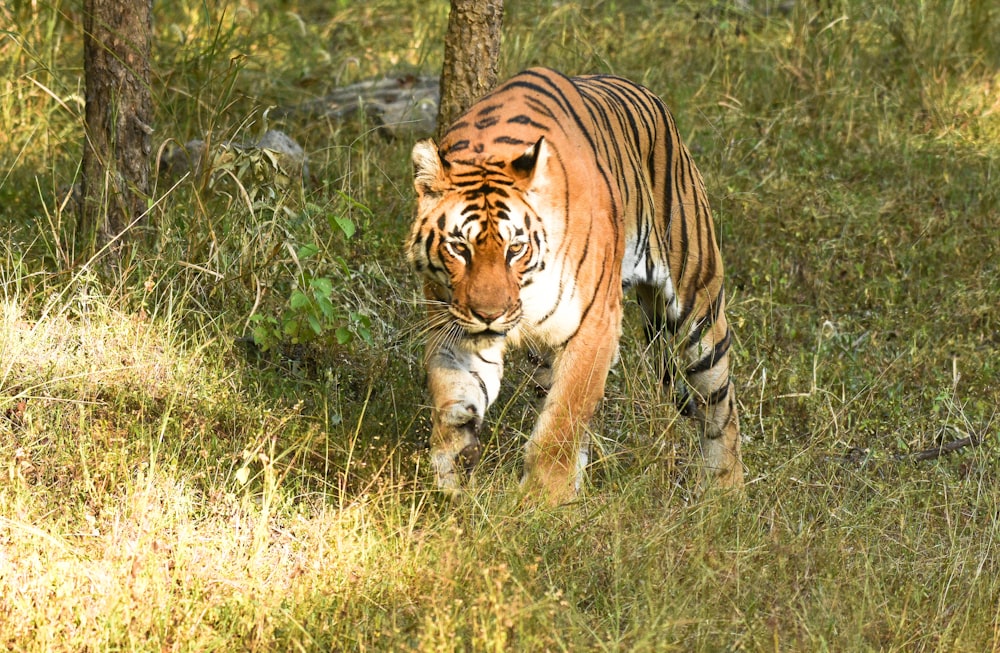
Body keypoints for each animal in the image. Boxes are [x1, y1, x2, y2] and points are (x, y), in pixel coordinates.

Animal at [406, 67, 744, 504]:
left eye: (515, 249)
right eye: (459, 248)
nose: (489, 314)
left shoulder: (594, 324)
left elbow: (563, 420)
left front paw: (544, 500)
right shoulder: (454, 326)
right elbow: (453, 393)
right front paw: (453, 475)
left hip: (695, 309)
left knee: (721, 403)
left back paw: (726, 491)